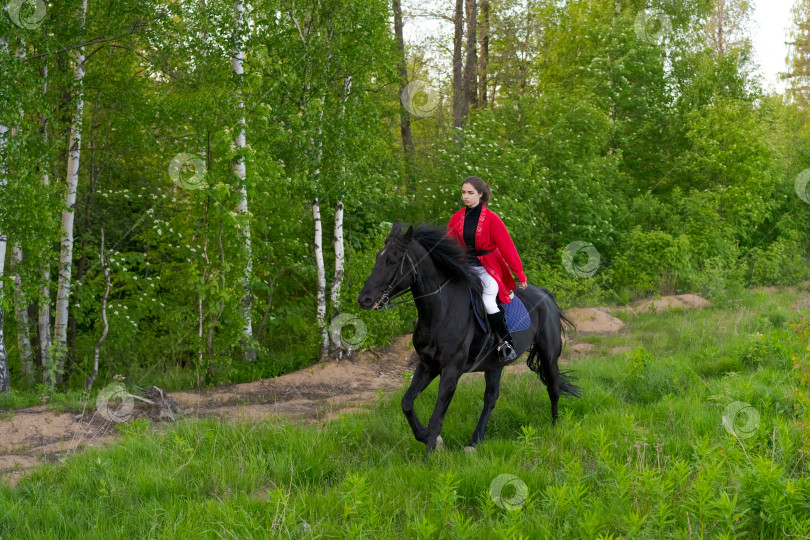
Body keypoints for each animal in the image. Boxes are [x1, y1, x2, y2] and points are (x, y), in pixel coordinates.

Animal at [356, 221, 576, 458]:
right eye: (378, 257)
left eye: (392, 261)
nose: (364, 299)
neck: (441, 310)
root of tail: (546, 295)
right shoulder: (427, 364)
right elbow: (406, 402)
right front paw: (426, 438)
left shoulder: (452, 370)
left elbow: (436, 417)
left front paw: (428, 456)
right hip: (494, 364)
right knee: (491, 397)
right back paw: (475, 440)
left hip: (549, 355)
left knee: (553, 387)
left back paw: (554, 427)